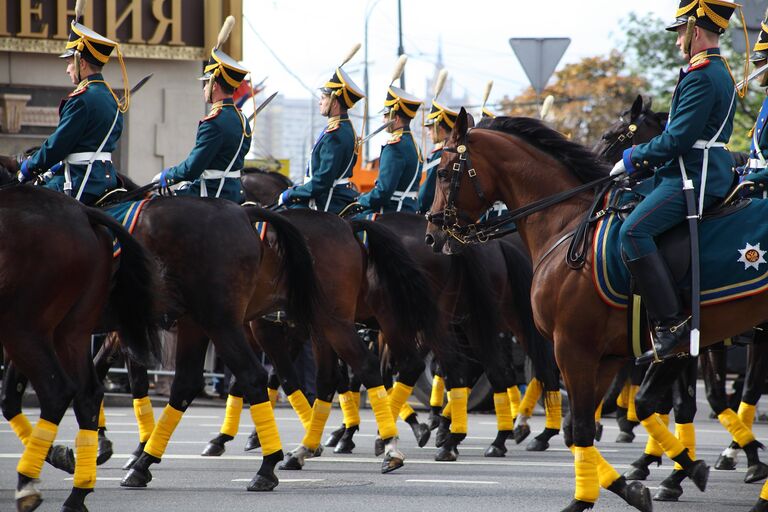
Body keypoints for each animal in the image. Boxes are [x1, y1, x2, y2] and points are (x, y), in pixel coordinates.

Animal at [424, 109, 768, 512]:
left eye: (442, 172)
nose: (432, 235)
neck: (566, 225)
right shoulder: (609, 356)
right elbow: (591, 424)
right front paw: (646, 480)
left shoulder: (576, 349)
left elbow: (593, 423)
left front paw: (588, 497)